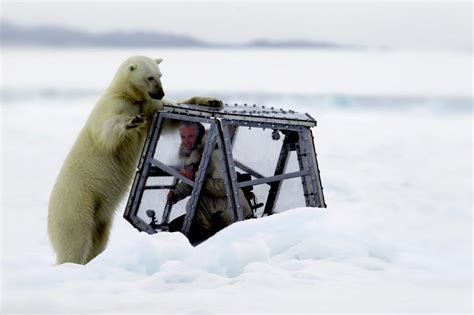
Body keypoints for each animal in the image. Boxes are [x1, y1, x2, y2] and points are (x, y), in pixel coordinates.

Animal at [47, 55, 221, 266]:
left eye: (160, 75)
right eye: (149, 77)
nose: (160, 93)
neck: (128, 95)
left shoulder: (149, 106)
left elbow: (170, 117)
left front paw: (211, 101)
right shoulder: (113, 106)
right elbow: (108, 131)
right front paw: (132, 121)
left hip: (100, 216)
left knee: (98, 237)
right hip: (77, 203)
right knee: (75, 240)